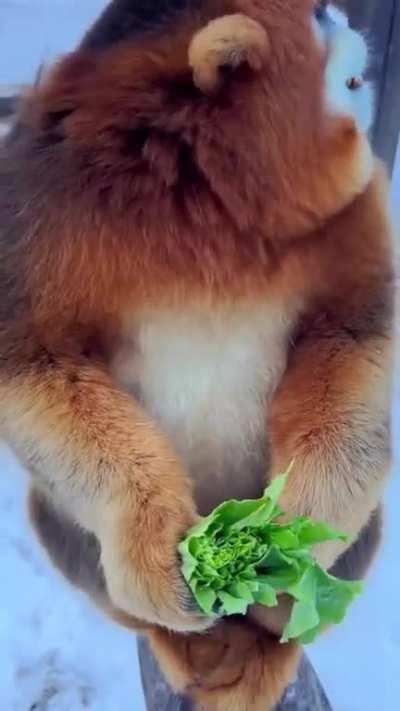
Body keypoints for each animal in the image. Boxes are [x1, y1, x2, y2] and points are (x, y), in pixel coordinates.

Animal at [0, 1, 394, 709]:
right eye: (317, 19)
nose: (347, 20)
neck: (207, 206)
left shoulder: (360, 203)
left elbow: (351, 337)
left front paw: (297, 533)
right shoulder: (38, 199)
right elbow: (34, 365)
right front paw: (154, 546)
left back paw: (268, 643)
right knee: (58, 521)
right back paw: (179, 642)